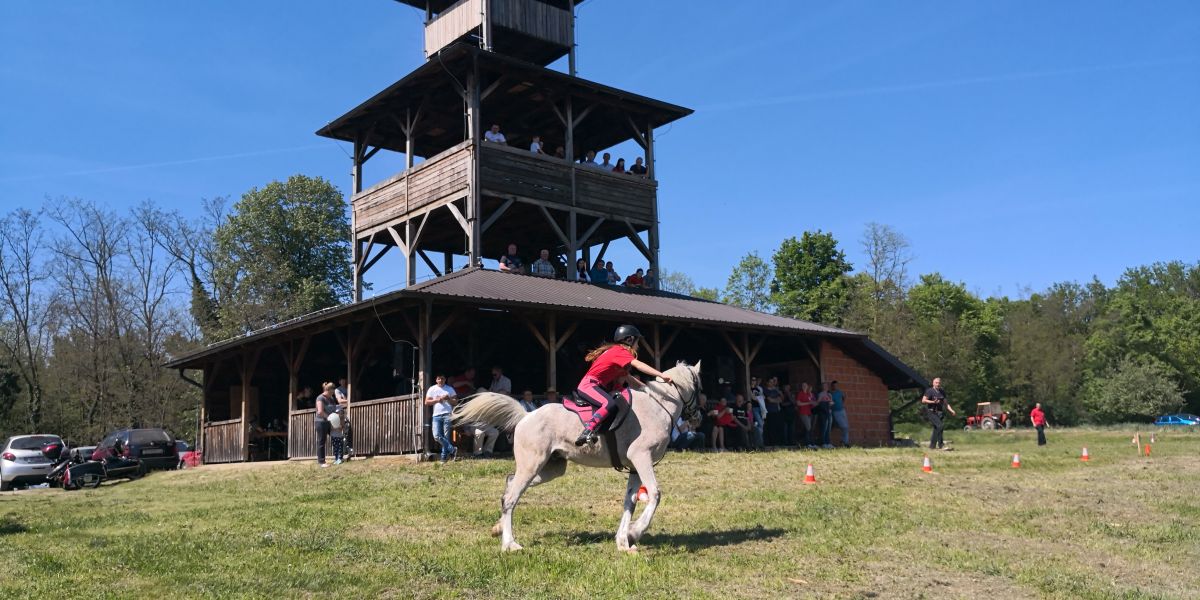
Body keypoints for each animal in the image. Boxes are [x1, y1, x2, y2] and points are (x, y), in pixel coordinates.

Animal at [456, 360, 700, 552]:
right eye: (699, 386)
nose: (697, 417)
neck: (658, 406)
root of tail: (526, 416)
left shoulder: (634, 465)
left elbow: (629, 502)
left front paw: (624, 541)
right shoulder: (641, 457)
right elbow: (655, 494)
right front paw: (635, 532)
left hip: (551, 467)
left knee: (509, 484)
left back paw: (498, 529)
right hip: (532, 464)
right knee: (510, 498)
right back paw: (510, 544)